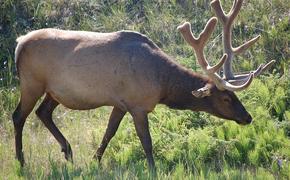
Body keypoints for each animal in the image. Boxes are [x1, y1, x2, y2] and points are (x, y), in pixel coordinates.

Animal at [11, 0, 274, 169]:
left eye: (236, 96)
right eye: (226, 98)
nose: (247, 117)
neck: (162, 84)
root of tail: (19, 42)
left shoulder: (120, 103)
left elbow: (109, 132)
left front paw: (95, 161)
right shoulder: (138, 104)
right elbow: (146, 141)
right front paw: (153, 169)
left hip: (53, 91)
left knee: (43, 112)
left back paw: (68, 151)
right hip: (31, 82)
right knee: (19, 116)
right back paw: (21, 161)